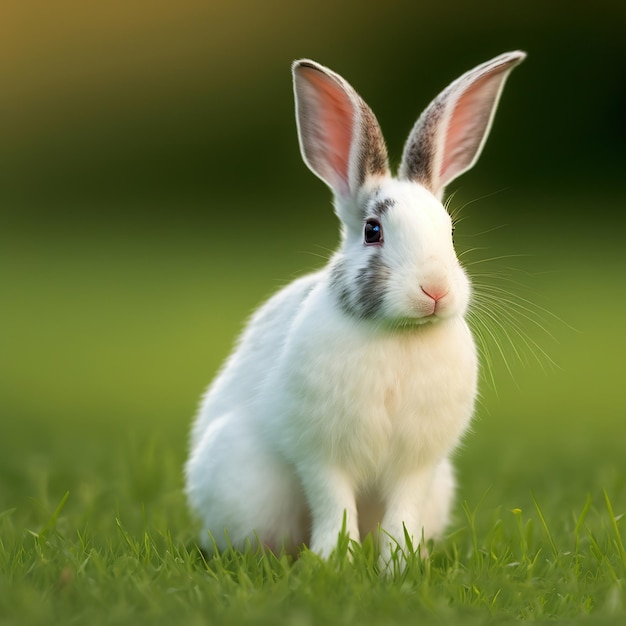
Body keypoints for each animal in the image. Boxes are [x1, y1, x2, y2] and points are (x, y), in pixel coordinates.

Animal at [183, 51, 524, 560]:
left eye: (450, 232)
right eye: (372, 231)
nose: (435, 290)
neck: (399, 333)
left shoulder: (416, 465)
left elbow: (401, 511)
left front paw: (400, 564)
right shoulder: (320, 455)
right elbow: (332, 502)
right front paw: (331, 562)